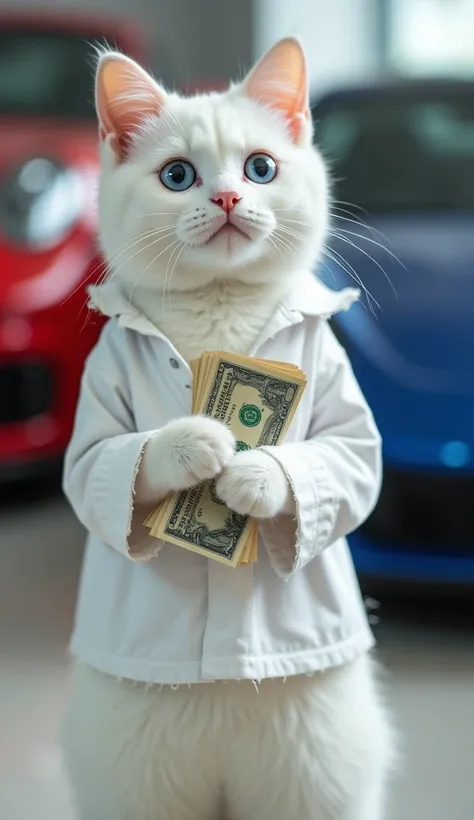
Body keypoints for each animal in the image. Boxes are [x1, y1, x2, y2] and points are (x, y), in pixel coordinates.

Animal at [62, 36, 396, 820]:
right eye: (178, 175)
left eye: (260, 168)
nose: (226, 197)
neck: (219, 306)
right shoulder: (96, 412)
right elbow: (105, 466)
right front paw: (198, 441)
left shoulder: (343, 412)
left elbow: (343, 462)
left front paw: (252, 471)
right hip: (137, 782)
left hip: (310, 777)